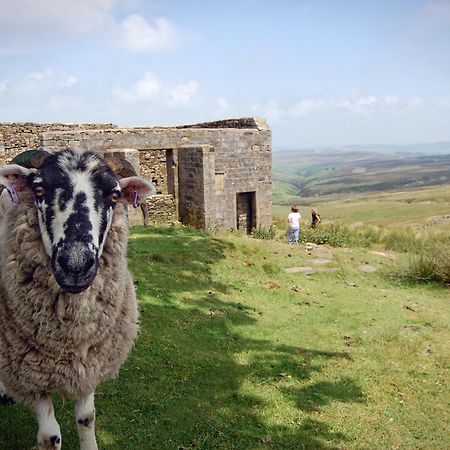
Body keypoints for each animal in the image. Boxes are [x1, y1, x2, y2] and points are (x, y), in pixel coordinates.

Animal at [0, 150, 155, 450]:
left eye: (114, 195)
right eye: (38, 189)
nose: (75, 265)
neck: (69, 339)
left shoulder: (89, 364)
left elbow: (87, 418)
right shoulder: (33, 379)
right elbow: (50, 436)